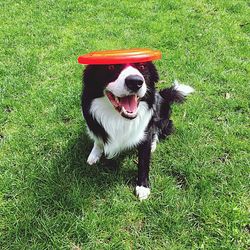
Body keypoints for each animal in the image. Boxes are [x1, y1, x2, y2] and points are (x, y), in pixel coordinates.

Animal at [81, 61, 194, 200]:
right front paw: (95, 154)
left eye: (142, 66)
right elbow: (98, 140)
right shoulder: (93, 123)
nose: (135, 82)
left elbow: (144, 162)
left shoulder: (145, 134)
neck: (118, 119)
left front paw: (143, 187)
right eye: (110, 67)